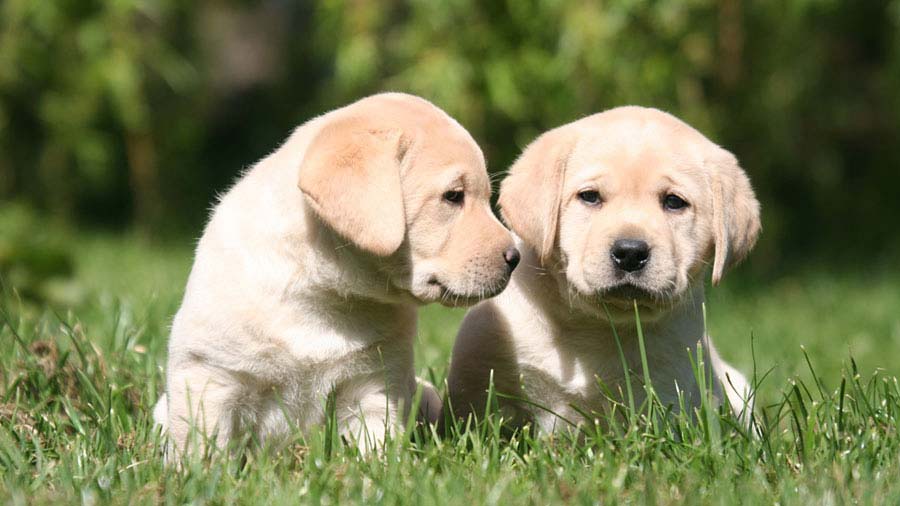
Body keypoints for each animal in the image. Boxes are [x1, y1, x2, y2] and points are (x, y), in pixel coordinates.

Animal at [156, 94, 520, 454]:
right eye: (453, 196)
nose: (515, 257)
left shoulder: (375, 386)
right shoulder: (210, 378)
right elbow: (203, 450)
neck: (319, 295)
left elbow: (376, 449)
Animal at [442, 106, 760, 430]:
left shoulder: (670, 394)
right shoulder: (482, 377)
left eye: (674, 202)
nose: (630, 253)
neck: (597, 324)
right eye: (590, 196)